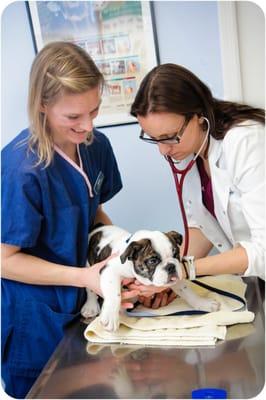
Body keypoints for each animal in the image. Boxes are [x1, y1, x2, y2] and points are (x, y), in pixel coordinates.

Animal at [81, 225, 220, 332]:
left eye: (176, 254)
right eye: (153, 261)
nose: (171, 266)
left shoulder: (177, 278)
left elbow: (187, 291)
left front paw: (203, 303)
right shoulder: (110, 269)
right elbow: (113, 295)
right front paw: (111, 316)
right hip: (87, 264)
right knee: (90, 290)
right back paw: (91, 306)